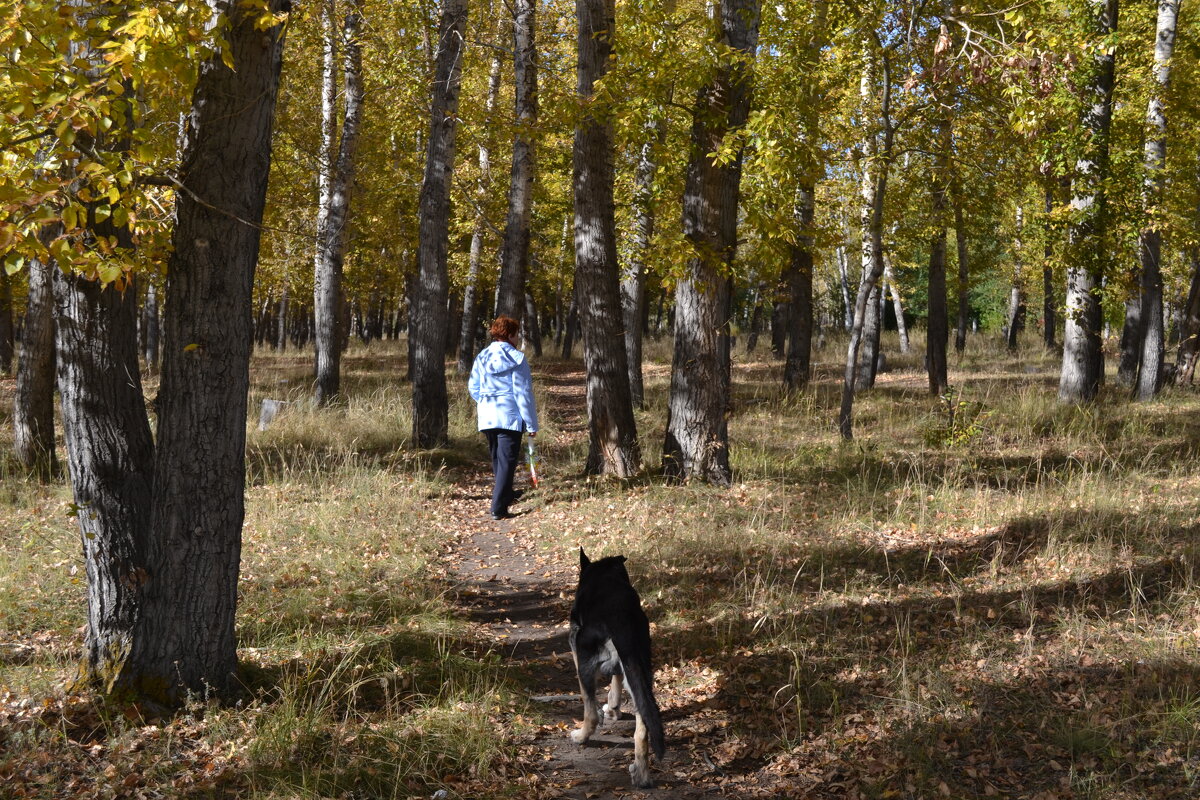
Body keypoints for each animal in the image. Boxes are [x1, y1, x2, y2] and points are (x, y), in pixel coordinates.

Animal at [568, 551, 667, 786]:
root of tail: (622, 618)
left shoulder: (575, 642)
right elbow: (617, 680)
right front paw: (613, 709)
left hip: (584, 658)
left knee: (590, 711)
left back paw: (581, 736)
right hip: (640, 667)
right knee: (642, 727)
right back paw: (641, 775)